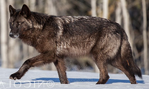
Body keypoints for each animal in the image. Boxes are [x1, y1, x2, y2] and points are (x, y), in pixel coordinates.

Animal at [8, 4, 141, 84]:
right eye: (11, 23)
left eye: (19, 23)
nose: (10, 34)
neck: (41, 28)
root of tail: (119, 26)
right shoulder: (58, 58)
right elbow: (63, 78)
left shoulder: (49, 55)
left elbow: (27, 61)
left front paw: (16, 75)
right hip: (113, 60)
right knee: (131, 74)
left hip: (99, 58)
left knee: (106, 76)